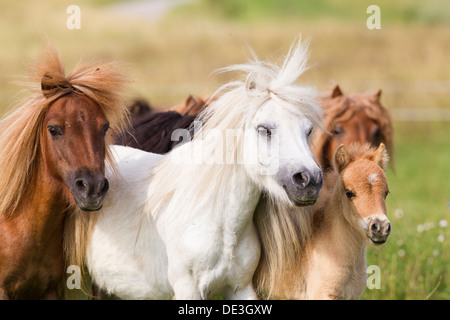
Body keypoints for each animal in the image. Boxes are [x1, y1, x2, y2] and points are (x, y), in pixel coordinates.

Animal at [64, 37, 324, 300]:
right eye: (264, 129)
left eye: (308, 130)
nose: (309, 180)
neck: (220, 224)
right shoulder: (187, 289)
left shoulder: (240, 288)